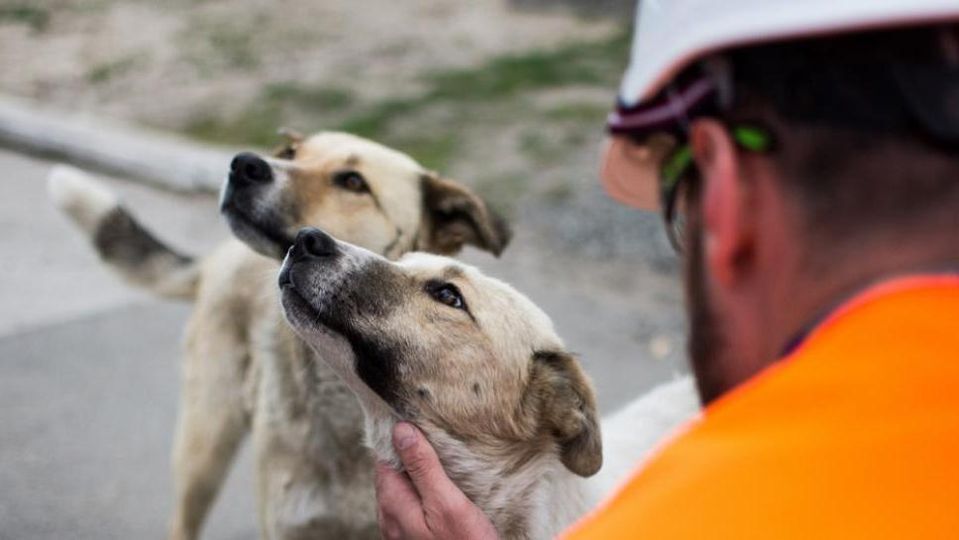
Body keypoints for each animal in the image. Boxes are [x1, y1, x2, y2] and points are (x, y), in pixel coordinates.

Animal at [47, 132, 510, 540]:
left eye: (353, 182)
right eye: (291, 152)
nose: (243, 165)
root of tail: (217, 256)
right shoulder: (291, 525)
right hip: (205, 445)